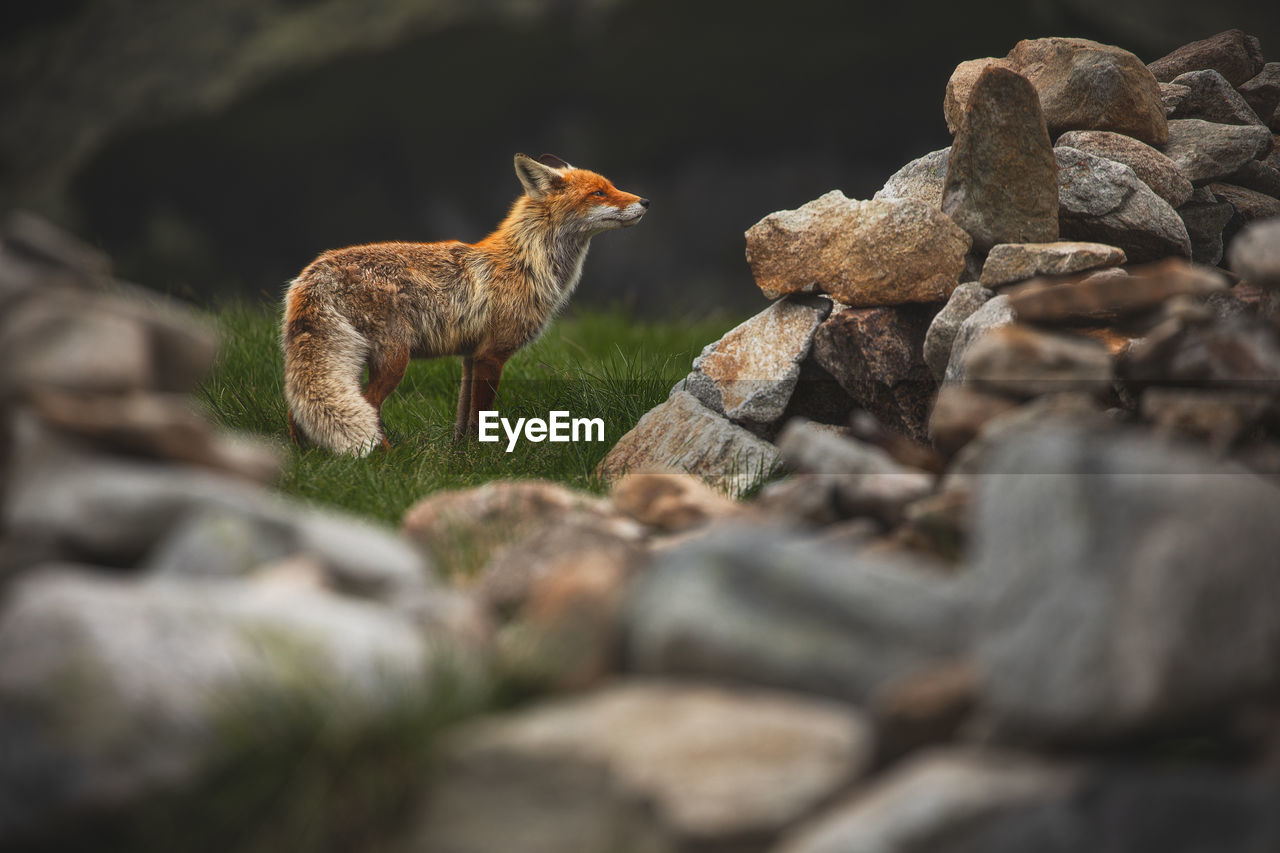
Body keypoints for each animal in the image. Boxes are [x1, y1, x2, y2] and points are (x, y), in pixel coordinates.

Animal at [281, 156, 650, 455]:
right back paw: (385, 458)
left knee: (298, 407)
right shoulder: (492, 354)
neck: (526, 264)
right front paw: (481, 459)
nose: (645, 201)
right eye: (599, 193)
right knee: (368, 408)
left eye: (611, 187)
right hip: (393, 359)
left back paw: (307, 456)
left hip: (347, 361)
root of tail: (315, 272)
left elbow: (464, 419)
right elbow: (481, 416)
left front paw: (460, 457)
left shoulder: (470, 357)